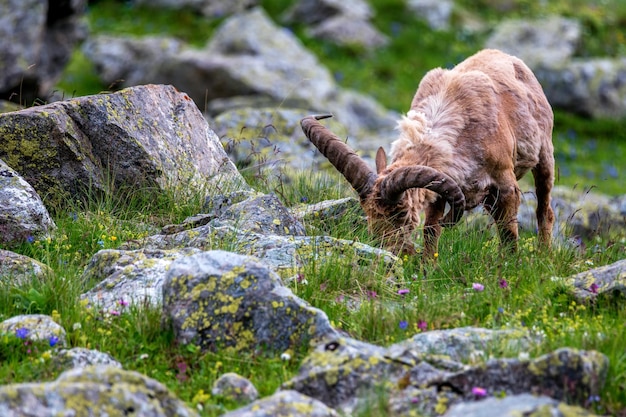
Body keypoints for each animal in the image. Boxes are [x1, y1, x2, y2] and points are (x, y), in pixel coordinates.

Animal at [300, 48, 552, 256]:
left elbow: (508, 232)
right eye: (367, 211)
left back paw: (544, 254)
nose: (387, 248)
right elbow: (431, 230)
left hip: (545, 155)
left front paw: (509, 266)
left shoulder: (505, 183)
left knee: (544, 210)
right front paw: (427, 268)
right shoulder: (442, 189)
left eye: (401, 213)